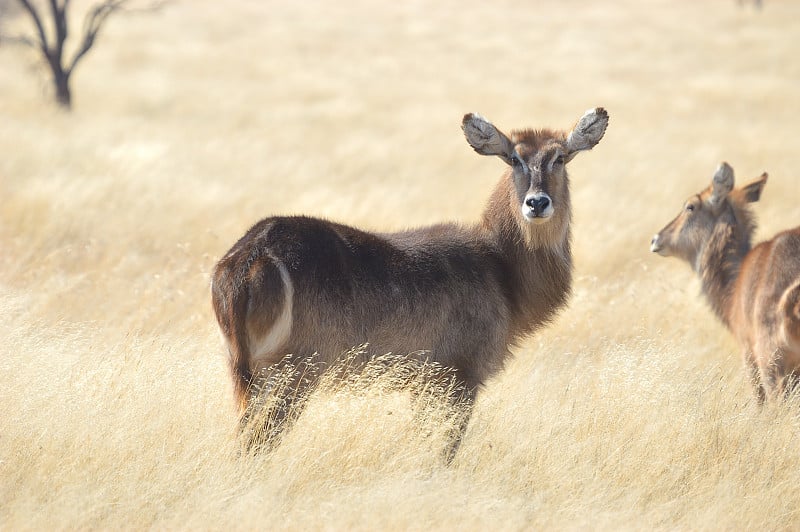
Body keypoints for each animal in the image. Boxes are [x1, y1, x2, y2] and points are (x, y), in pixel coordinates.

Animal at [209, 107, 608, 454]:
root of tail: (253, 254)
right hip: (291, 371)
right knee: (255, 443)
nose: (537, 203)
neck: (501, 267)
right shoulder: (459, 372)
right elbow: (443, 449)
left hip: (244, 370)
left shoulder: (423, 383)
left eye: (560, 157)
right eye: (514, 158)